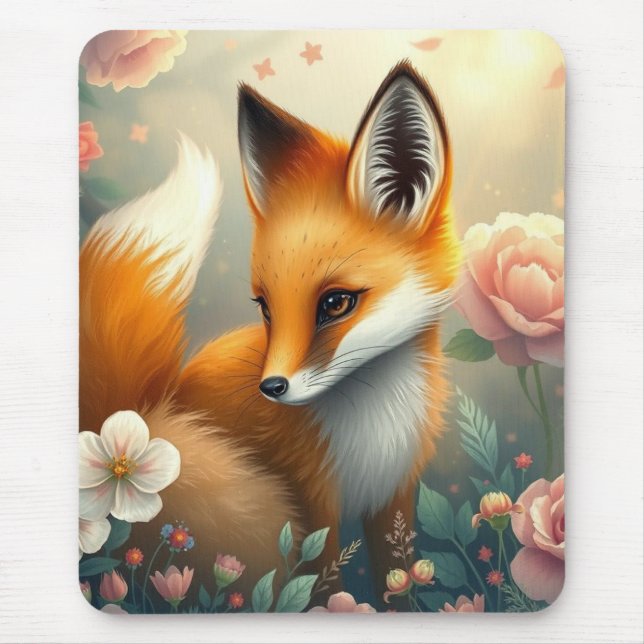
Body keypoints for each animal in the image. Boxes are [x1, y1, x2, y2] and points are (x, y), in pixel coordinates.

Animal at [176, 60, 461, 601]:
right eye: (265, 307)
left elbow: (398, 580)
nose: (270, 388)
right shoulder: (309, 505)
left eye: (335, 303)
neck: (375, 427)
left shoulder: (395, 494)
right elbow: (321, 591)